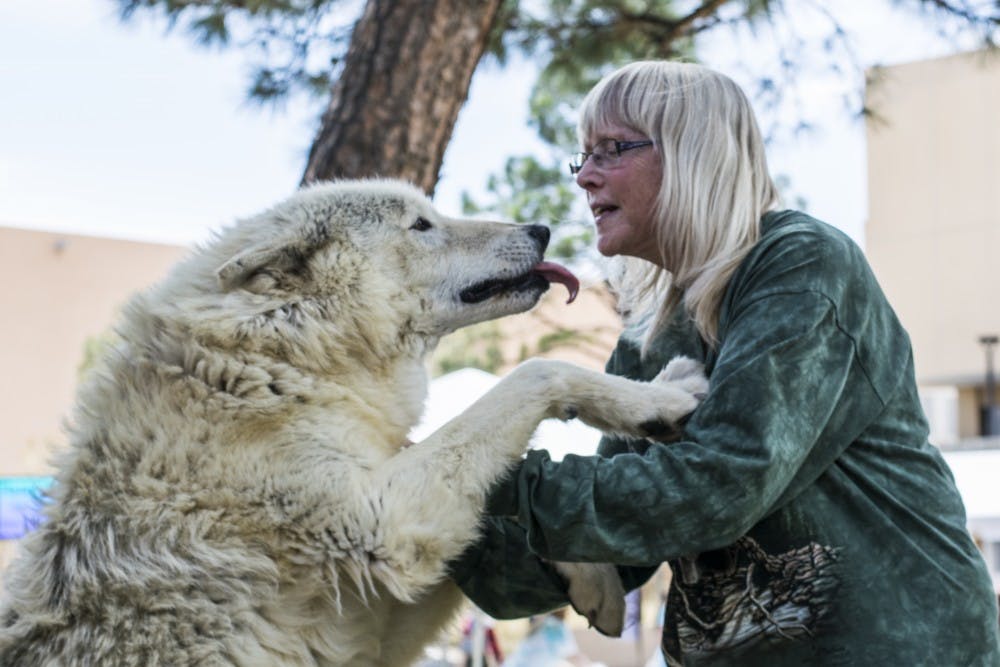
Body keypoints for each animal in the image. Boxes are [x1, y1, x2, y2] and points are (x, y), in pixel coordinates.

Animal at [0, 180, 708, 664]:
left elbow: (502, 513)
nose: (540, 229)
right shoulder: (381, 523)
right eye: (421, 225)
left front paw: (596, 583)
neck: (272, 364)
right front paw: (660, 399)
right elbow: (536, 373)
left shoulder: (371, 617)